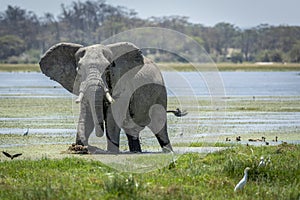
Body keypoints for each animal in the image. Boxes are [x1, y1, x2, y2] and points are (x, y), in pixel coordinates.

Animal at [39, 41, 179, 152]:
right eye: (79, 69)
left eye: (107, 68)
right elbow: (86, 114)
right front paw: (79, 148)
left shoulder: (123, 86)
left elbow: (113, 115)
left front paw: (111, 151)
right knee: (132, 131)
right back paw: (136, 152)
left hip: (160, 95)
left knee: (159, 126)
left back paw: (168, 151)